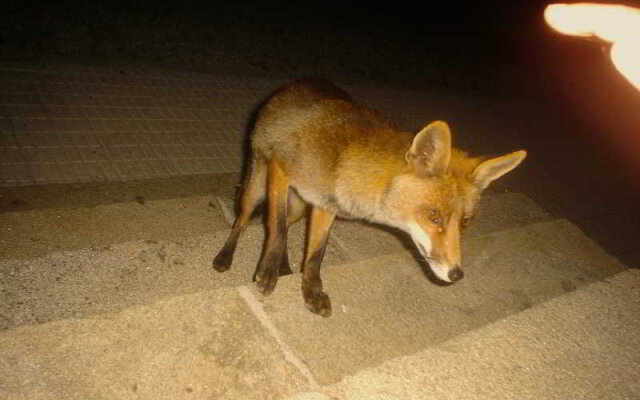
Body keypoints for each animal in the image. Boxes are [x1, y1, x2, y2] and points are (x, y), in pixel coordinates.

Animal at [214, 78, 524, 316]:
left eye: (465, 223)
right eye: (433, 216)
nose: (456, 274)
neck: (345, 162)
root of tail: (294, 84)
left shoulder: (325, 204)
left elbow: (315, 255)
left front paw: (310, 291)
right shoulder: (281, 169)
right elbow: (276, 229)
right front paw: (267, 273)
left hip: (300, 207)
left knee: (288, 225)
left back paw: (286, 266)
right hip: (257, 190)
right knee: (243, 221)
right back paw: (226, 257)